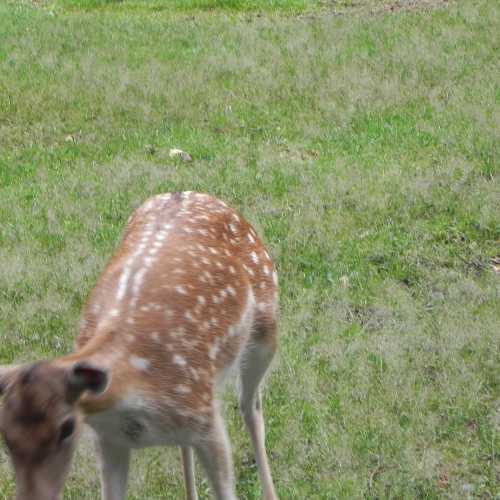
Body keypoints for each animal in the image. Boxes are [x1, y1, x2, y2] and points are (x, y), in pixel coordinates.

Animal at [0, 191, 278, 500]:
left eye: (67, 427)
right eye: (5, 435)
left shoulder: (207, 420)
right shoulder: (109, 438)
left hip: (266, 330)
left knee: (251, 407)